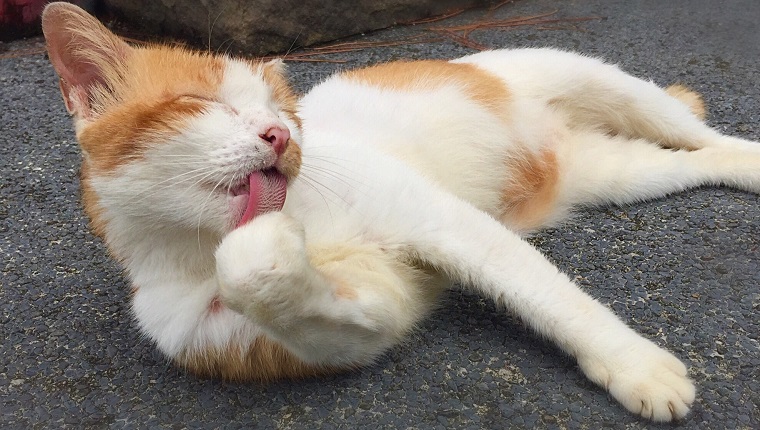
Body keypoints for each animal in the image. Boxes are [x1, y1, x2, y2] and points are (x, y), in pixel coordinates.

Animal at [40, 1, 760, 422]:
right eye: (198, 102)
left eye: (284, 112)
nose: (281, 137)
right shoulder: (357, 318)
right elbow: (268, 279)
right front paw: (269, 253)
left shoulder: (436, 218)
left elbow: (549, 297)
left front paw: (635, 365)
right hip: (618, 173)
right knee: (696, 161)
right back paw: (742, 168)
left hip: (602, 84)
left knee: (697, 131)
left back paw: (747, 152)